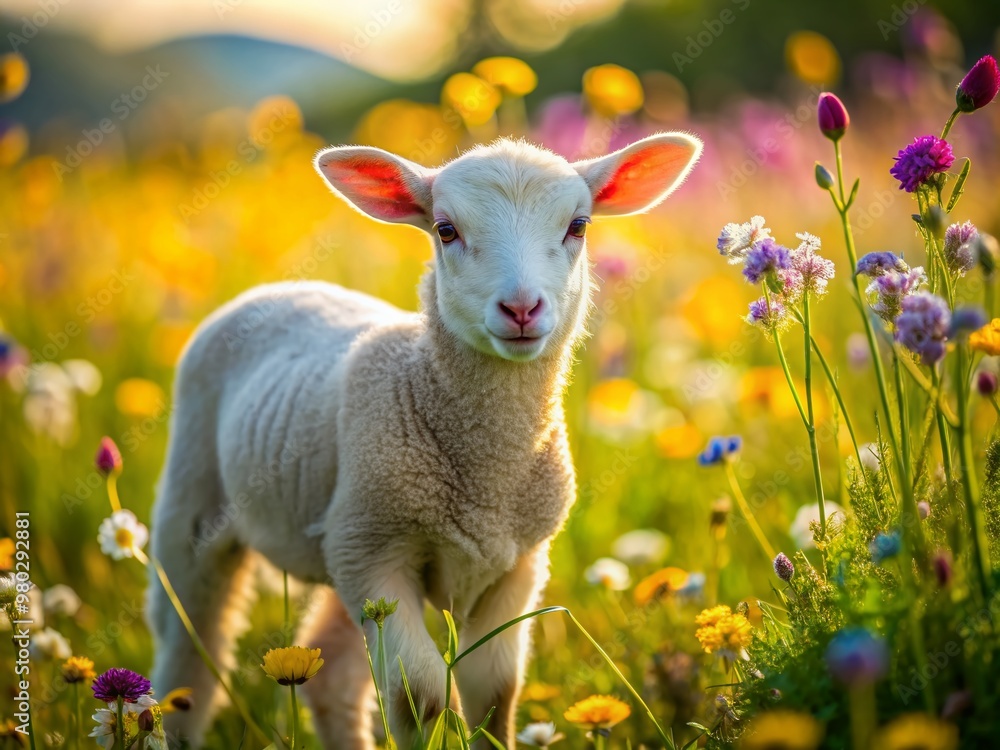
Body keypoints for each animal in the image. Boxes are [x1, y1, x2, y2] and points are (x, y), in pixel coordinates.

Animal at [147, 133, 701, 749]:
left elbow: (496, 695)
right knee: (189, 655)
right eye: (446, 230)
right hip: (199, 504)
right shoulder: (376, 555)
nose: (521, 308)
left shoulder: (515, 564)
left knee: (329, 677)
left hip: (343, 538)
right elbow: (423, 696)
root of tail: (279, 288)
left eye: (577, 226)